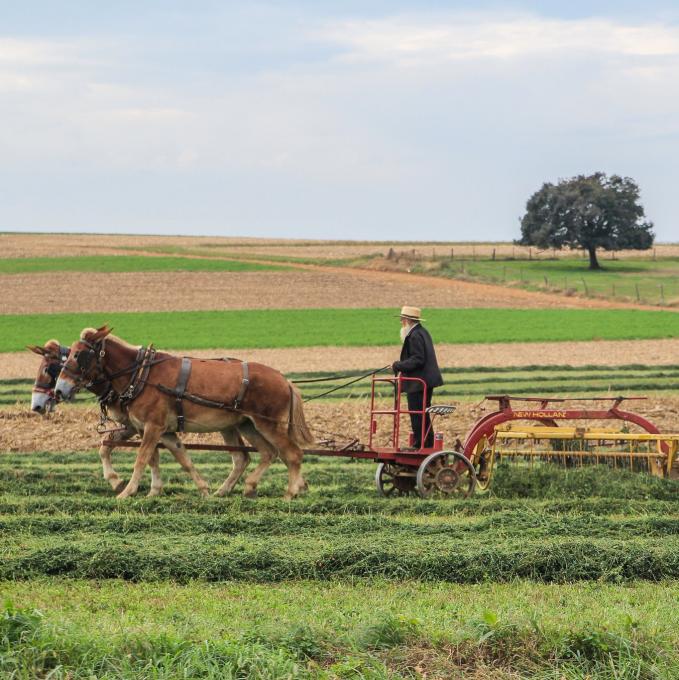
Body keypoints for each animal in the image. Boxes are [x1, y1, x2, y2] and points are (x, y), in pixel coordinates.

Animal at [54, 324, 314, 500]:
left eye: (79, 355)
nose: (59, 389)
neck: (141, 375)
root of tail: (285, 380)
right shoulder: (153, 429)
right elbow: (179, 457)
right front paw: (188, 490)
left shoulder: (153, 426)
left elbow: (142, 458)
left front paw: (126, 491)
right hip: (245, 424)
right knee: (261, 454)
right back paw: (238, 489)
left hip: (268, 423)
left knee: (292, 454)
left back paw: (290, 493)